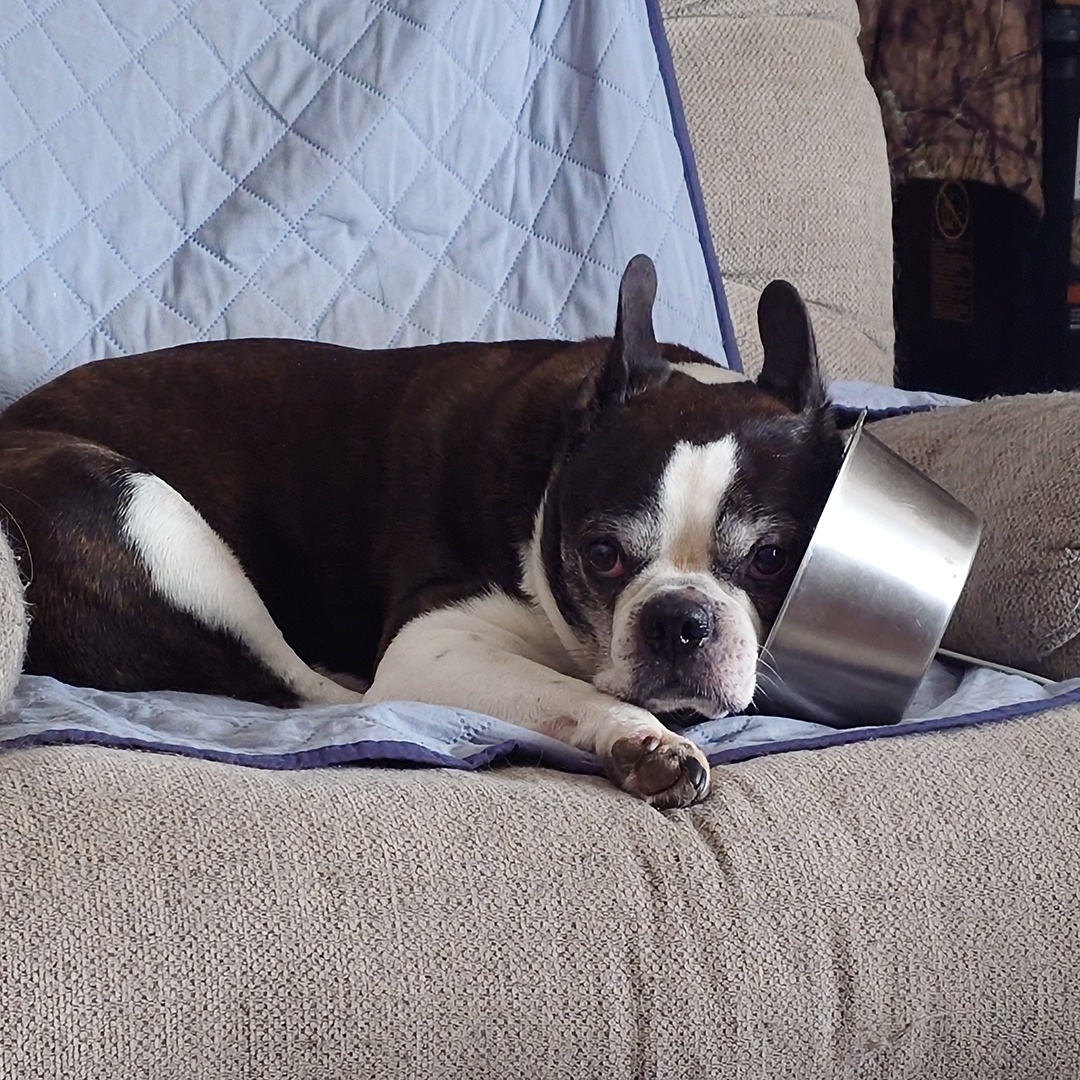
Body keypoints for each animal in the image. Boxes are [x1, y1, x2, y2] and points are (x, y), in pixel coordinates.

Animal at [0, 257, 842, 807]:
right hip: (143, 513)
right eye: (601, 555)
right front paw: (644, 741)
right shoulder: (433, 645)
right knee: (304, 687)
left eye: (772, 558)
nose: (677, 622)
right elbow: (564, 690)